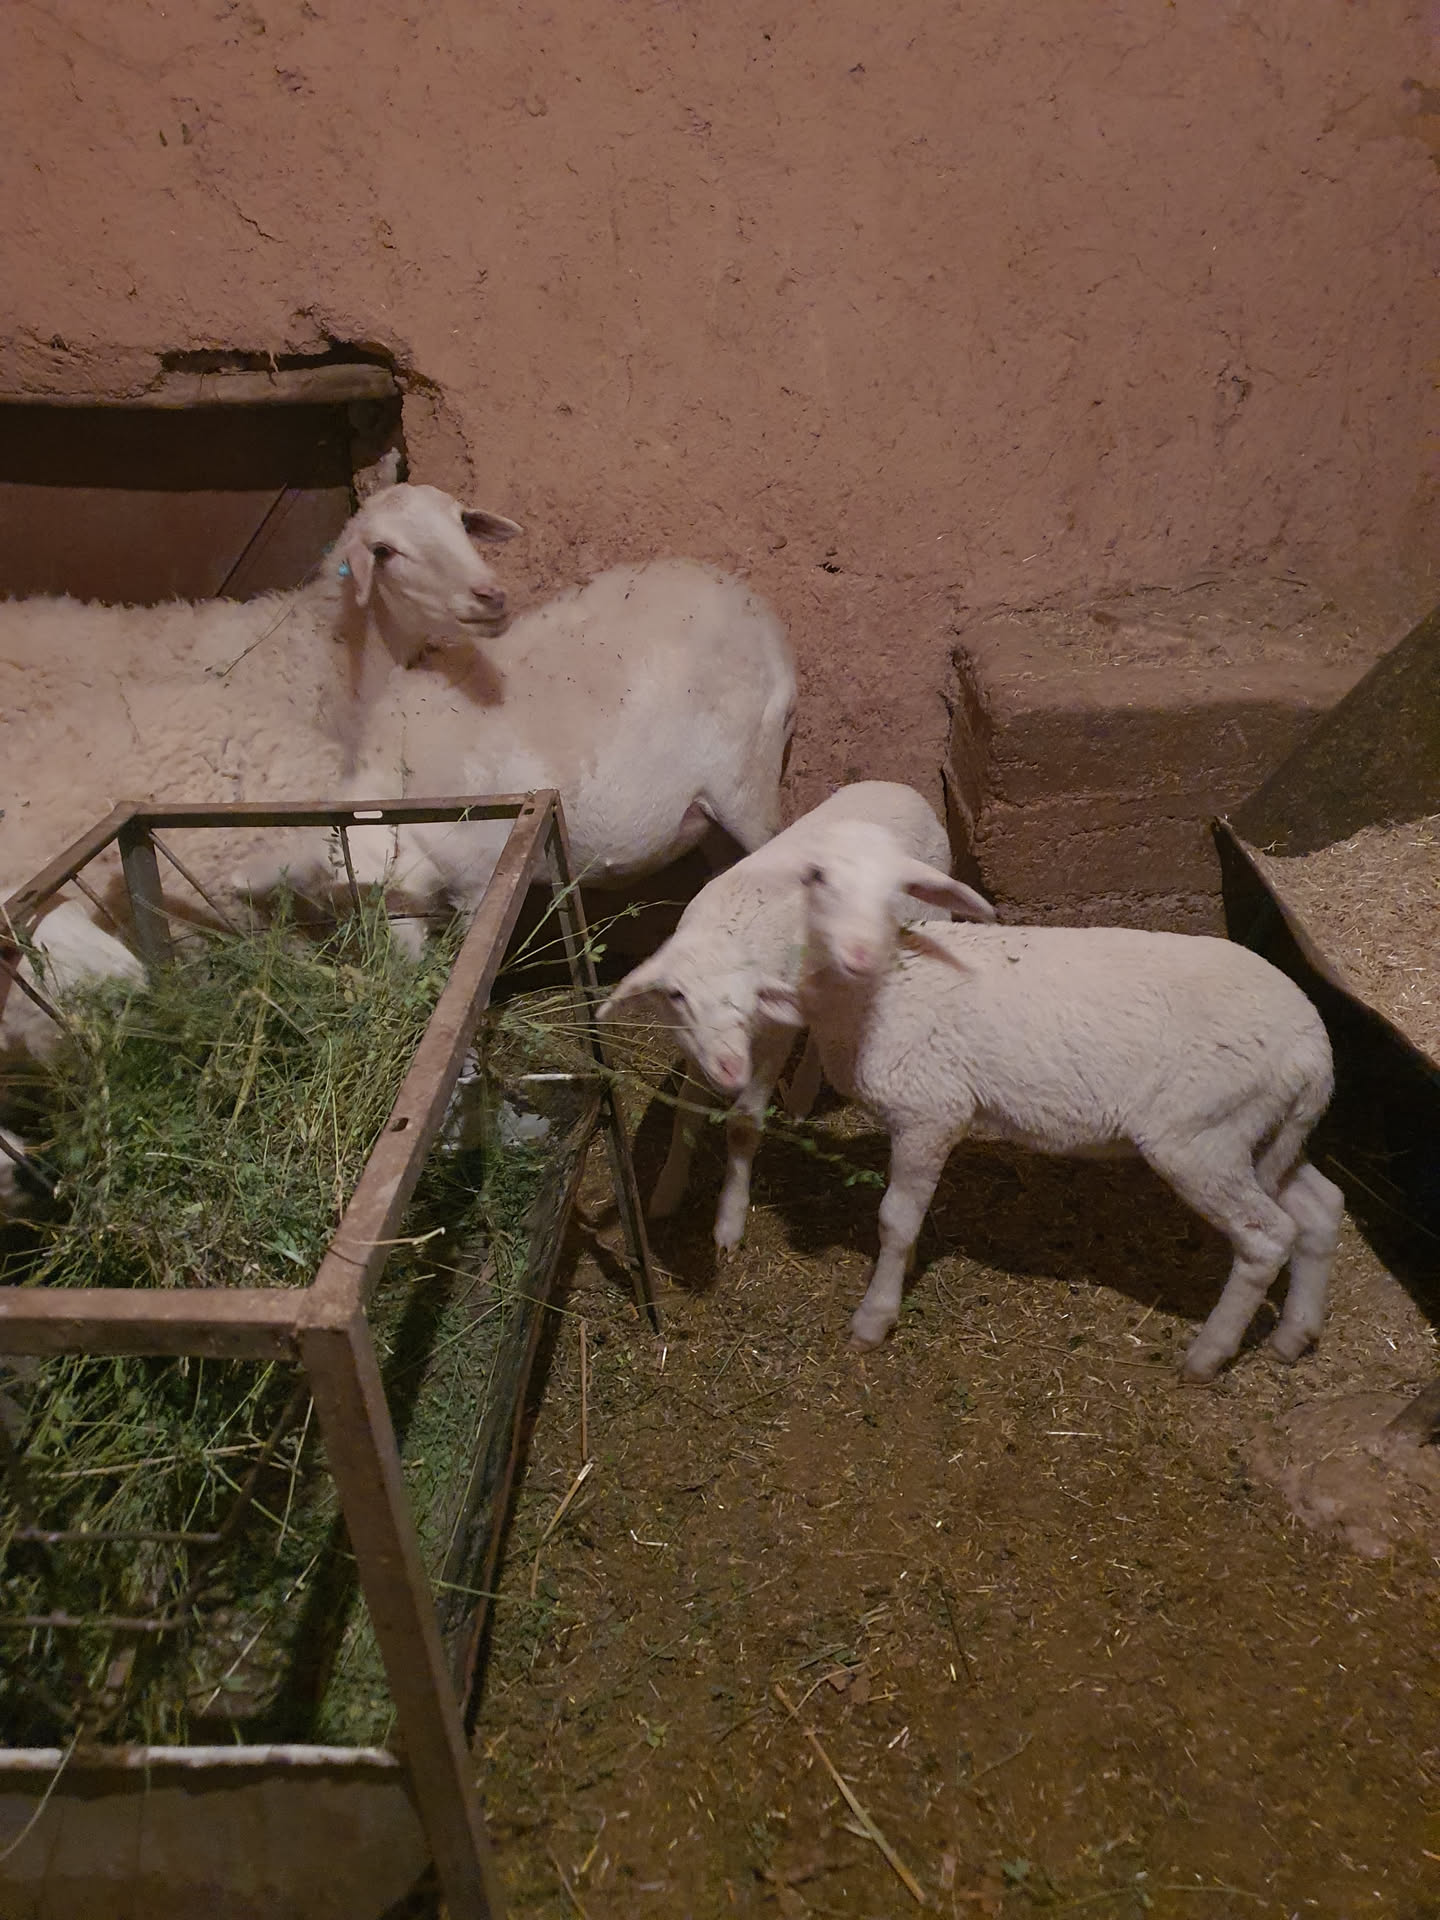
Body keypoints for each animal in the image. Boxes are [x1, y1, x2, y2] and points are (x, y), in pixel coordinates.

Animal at [595, 783, 994, 1251]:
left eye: (751, 993)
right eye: (676, 994)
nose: (732, 1070)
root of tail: (901, 787)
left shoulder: (773, 1036)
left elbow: (742, 1125)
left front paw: (729, 1221)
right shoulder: (698, 1046)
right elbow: (686, 1112)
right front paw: (666, 1191)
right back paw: (802, 1094)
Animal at [751, 821, 1343, 1383]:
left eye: (897, 890)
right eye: (818, 878)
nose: (858, 953)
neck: (880, 994)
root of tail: (1315, 1051)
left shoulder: (930, 1112)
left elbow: (895, 1219)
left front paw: (874, 1318)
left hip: (1201, 1135)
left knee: (1266, 1238)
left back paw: (1207, 1356)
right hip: (1258, 1131)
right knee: (1321, 1207)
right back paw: (1293, 1336)